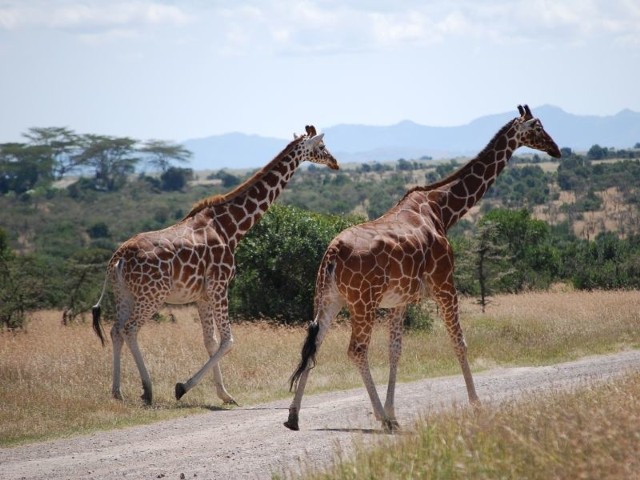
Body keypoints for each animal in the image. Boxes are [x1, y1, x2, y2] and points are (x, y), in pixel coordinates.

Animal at [92, 124, 338, 404]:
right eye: (322, 146)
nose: (335, 162)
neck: (231, 227)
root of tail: (118, 258)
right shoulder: (220, 286)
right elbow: (228, 341)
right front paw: (183, 387)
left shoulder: (203, 294)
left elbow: (210, 341)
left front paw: (224, 394)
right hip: (152, 295)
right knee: (130, 329)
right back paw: (147, 390)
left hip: (124, 294)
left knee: (115, 330)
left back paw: (117, 391)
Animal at [284, 104, 560, 432]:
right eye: (537, 127)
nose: (556, 149)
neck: (442, 209)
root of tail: (332, 252)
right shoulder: (445, 284)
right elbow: (460, 342)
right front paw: (476, 404)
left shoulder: (400, 301)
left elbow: (395, 351)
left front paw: (394, 411)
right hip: (363, 302)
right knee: (356, 350)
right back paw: (379, 418)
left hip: (330, 298)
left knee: (314, 344)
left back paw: (294, 416)